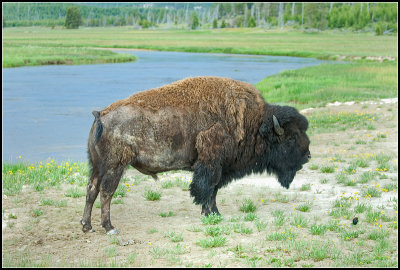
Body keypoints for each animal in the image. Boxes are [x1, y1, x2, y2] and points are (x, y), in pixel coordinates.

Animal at [81, 76, 310, 234]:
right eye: (291, 138)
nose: (307, 156)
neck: (255, 122)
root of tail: (101, 115)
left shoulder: (218, 167)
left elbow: (214, 190)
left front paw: (214, 213)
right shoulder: (211, 164)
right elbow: (208, 188)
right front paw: (210, 214)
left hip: (97, 166)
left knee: (92, 190)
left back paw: (87, 226)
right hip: (114, 167)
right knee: (106, 192)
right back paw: (109, 227)